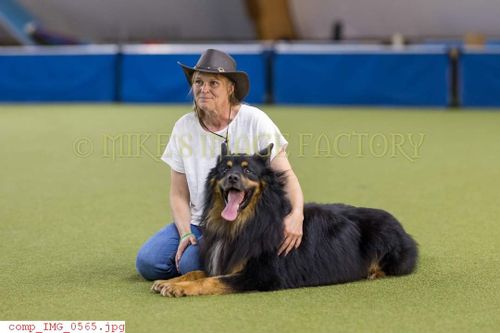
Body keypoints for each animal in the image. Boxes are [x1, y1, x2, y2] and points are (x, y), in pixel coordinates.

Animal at [152, 143, 418, 296]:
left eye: (248, 170)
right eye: (225, 169)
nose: (232, 178)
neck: (246, 221)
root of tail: (403, 229)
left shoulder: (259, 275)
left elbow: (211, 281)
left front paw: (178, 287)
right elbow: (198, 273)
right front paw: (172, 280)